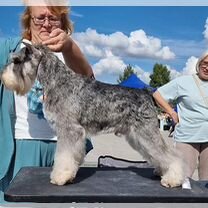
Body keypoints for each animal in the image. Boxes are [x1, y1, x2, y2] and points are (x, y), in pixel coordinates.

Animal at [0, 43, 185, 188]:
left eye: (16, 60)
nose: (3, 76)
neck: (57, 80)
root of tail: (146, 92)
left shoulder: (69, 130)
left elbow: (64, 156)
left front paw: (60, 177)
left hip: (146, 133)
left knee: (170, 155)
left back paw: (173, 179)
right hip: (137, 137)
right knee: (157, 155)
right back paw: (161, 171)